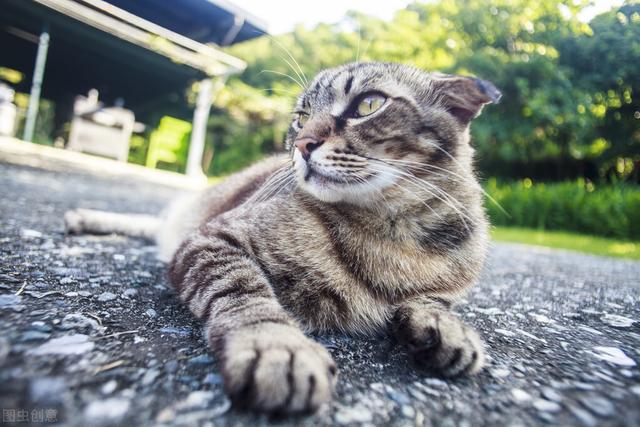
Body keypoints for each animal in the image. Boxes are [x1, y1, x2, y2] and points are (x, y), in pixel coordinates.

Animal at [67, 61, 502, 414]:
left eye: (368, 104)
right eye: (301, 116)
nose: (302, 144)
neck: (392, 231)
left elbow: (431, 299)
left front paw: (445, 326)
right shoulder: (212, 238)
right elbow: (245, 293)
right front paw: (278, 347)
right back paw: (86, 217)